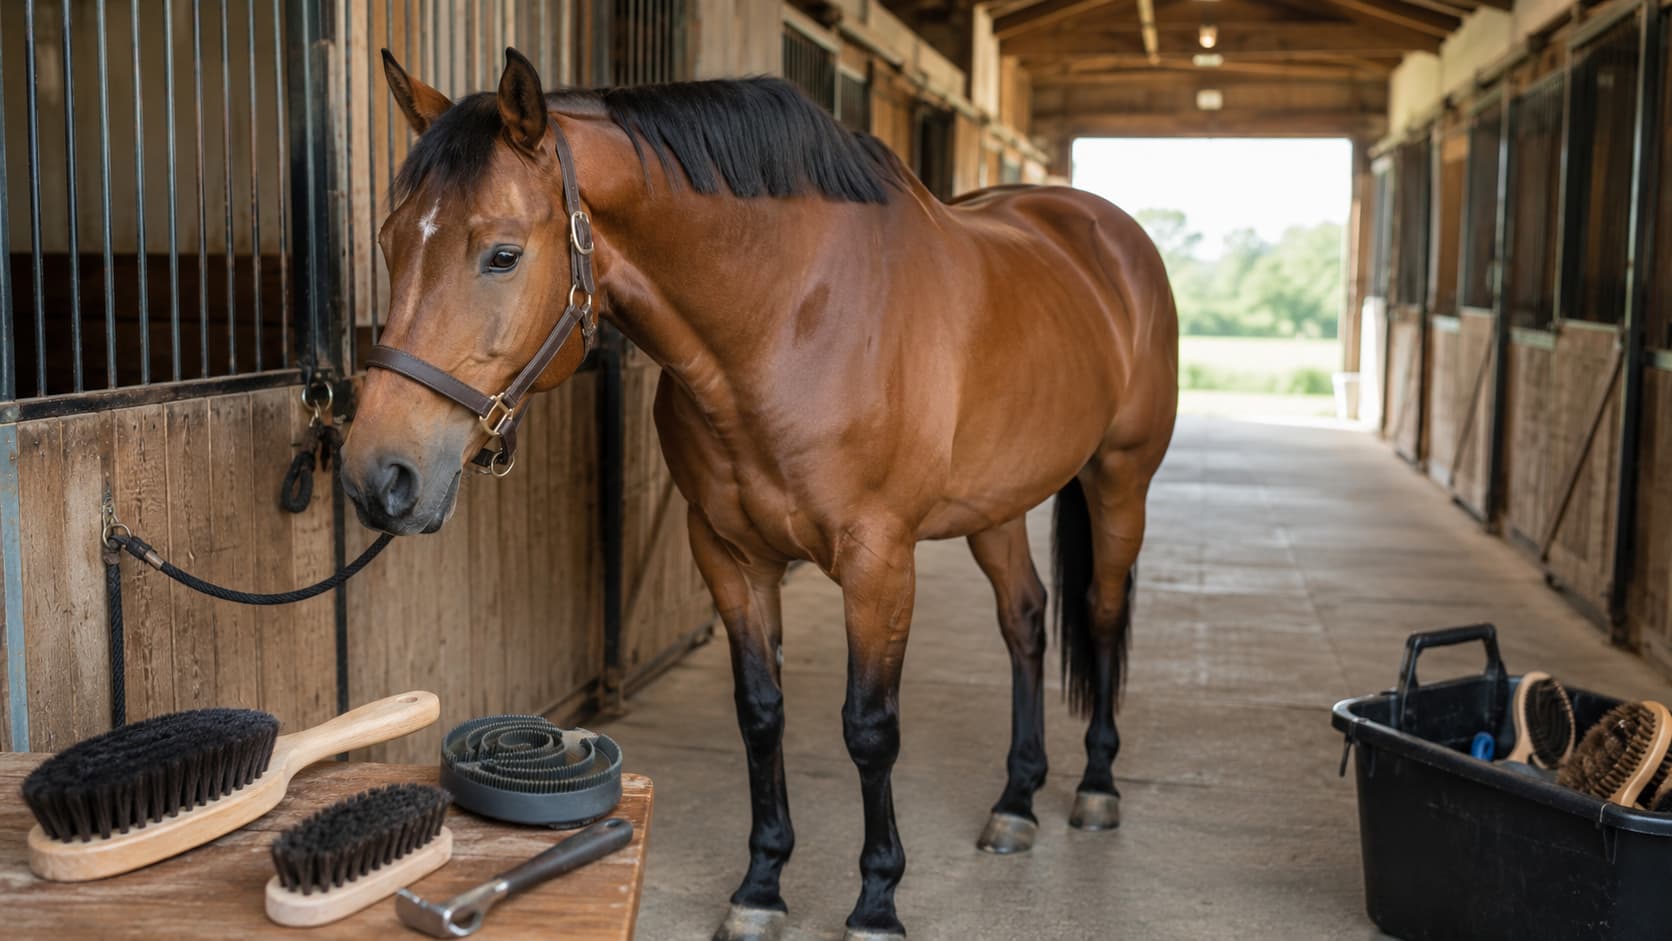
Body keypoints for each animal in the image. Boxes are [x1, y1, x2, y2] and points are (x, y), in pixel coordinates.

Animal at [341, 49, 1178, 941]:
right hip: (998, 505)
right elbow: (761, 711)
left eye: (501, 254)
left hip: (1120, 479)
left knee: (1099, 612)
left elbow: (869, 728)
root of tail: (1103, 229)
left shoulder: (879, 562)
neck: (789, 320)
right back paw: (1017, 800)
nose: (377, 475)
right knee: (1024, 619)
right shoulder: (729, 552)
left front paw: (876, 900)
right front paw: (761, 886)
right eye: (390, 241)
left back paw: (1096, 788)